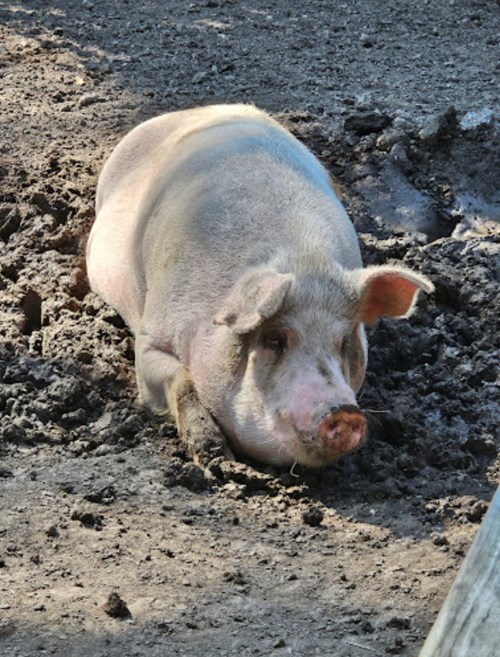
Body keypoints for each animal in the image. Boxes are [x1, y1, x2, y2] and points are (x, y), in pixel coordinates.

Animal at [86, 104, 433, 467]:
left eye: (342, 343)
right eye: (274, 339)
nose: (344, 412)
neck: (303, 262)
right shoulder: (151, 337)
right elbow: (179, 379)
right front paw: (216, 456)